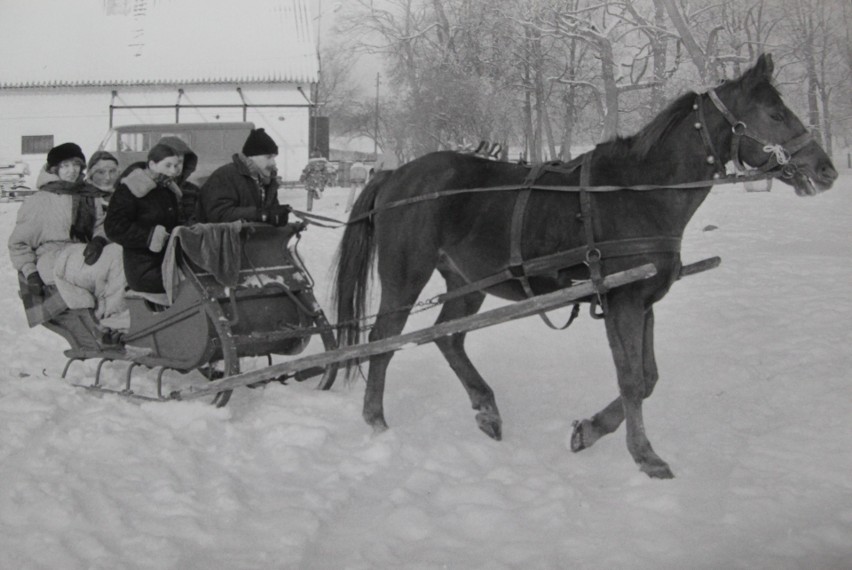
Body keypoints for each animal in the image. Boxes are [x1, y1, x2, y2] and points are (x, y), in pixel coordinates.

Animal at [332, 55, 840, 478]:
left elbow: (648, 378)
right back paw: (376, 420)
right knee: (383, 340)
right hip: (406, 276)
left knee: (448, 337)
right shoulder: (621, 299)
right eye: (775, 115)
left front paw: (590, 430)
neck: (640, 193)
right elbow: (632, 380)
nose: (827, 170)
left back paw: (486, 408)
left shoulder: (644, 301)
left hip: (466, 280)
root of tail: (395, 174)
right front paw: (645, 455)